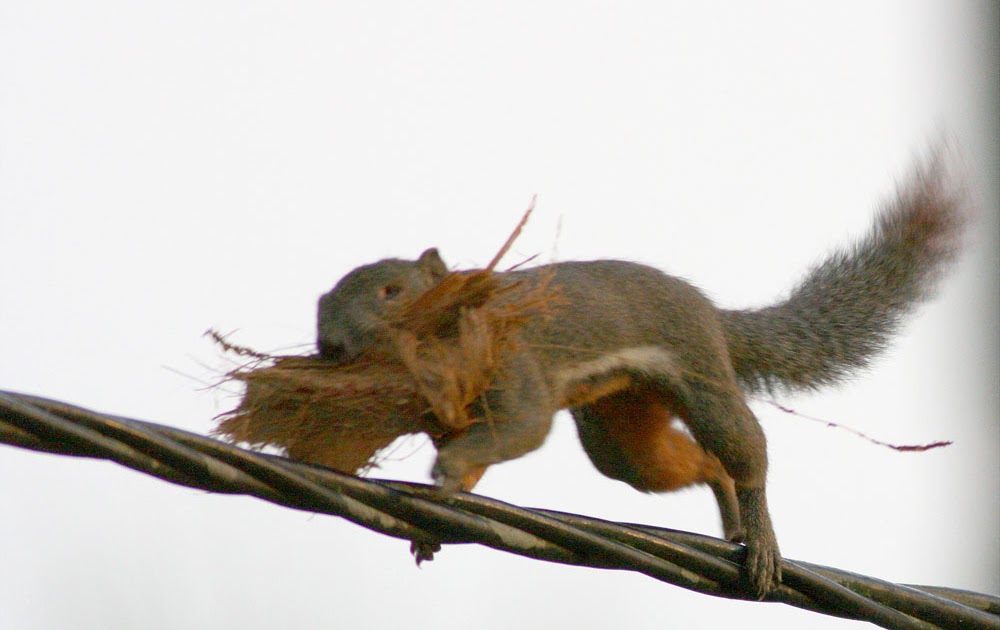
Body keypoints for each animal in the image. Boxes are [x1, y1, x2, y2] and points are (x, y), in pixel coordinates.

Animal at [315, 157, 963, 598]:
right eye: (321, 305)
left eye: (392, 290)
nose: (331, 345)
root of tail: (713, 313)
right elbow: (481, 452)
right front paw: (435, 518)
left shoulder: (517, 360)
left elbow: (522, 426)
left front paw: (446, 470)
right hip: (621, 428)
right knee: (688, 464)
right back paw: (728, 511)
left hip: (700, 375)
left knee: (743, 450)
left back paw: (760, 539)